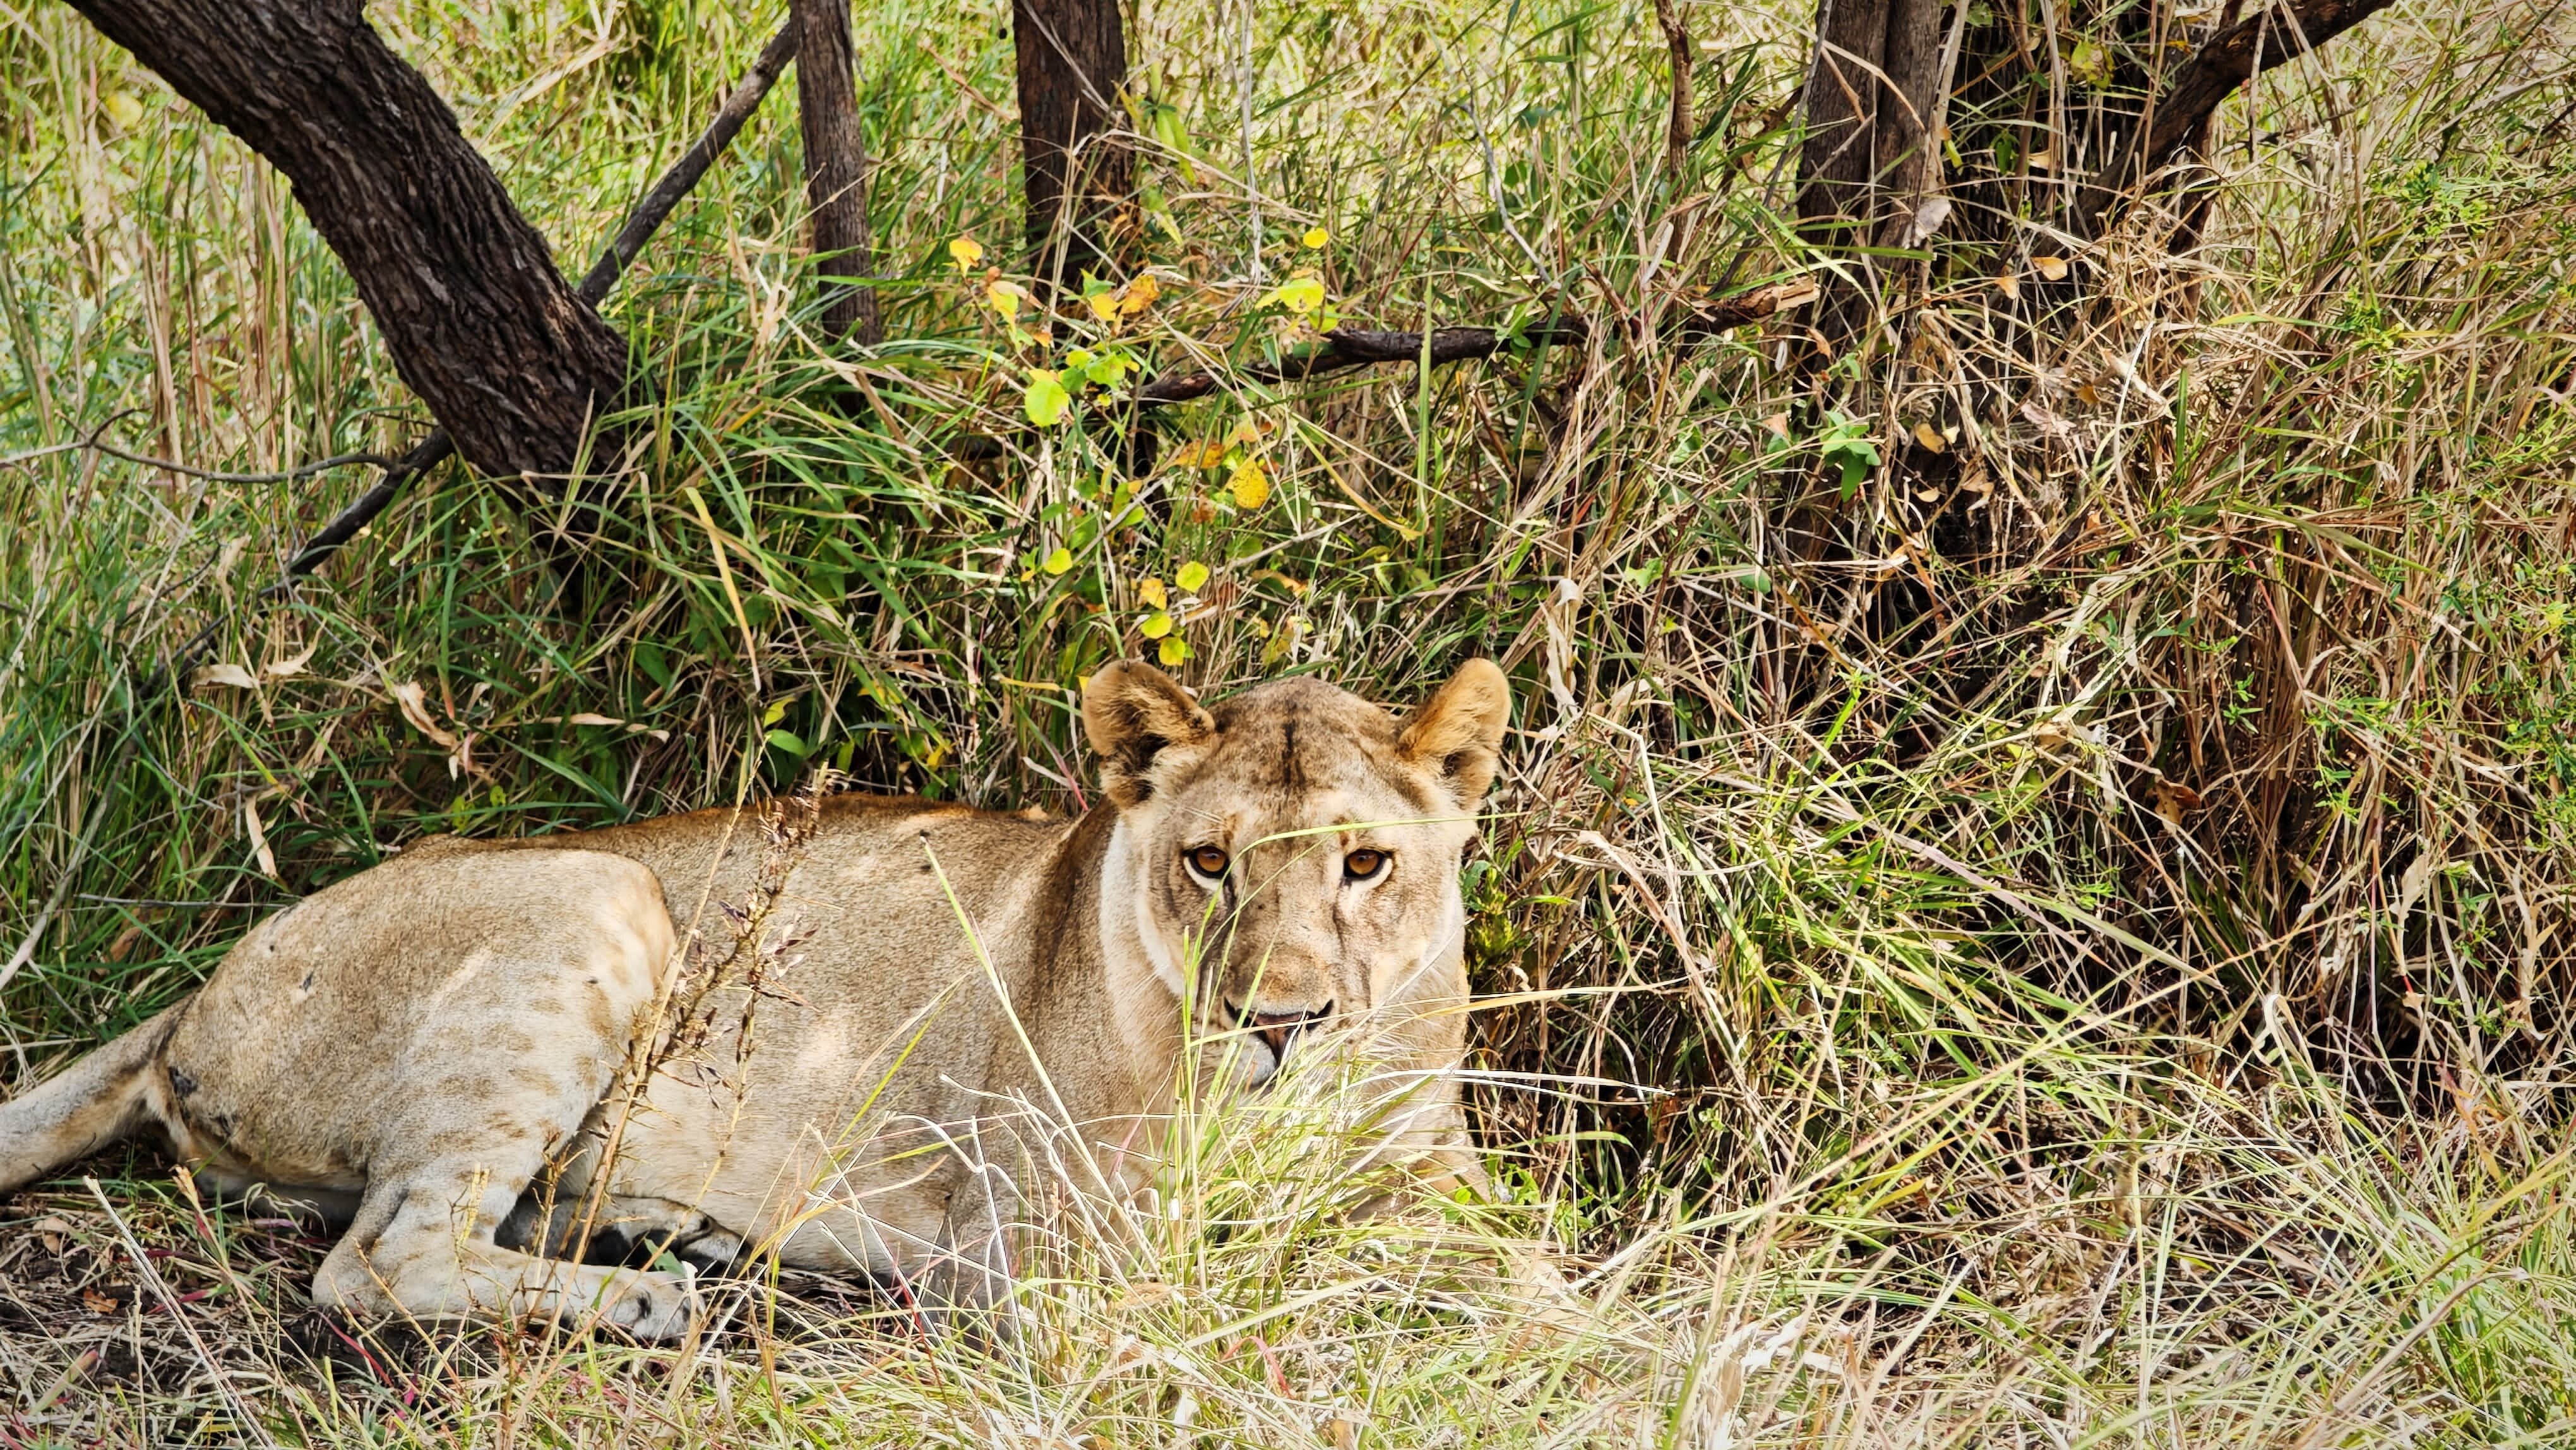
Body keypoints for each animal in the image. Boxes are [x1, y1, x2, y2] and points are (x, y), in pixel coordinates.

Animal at [0, 659, 1512, 1338]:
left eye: (1366, 864)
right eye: (1208, 863)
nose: (1283, 1024)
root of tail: (194, 995)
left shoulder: (1435, 1169)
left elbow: (1523, 1273)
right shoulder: (1045, 1252)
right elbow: (1233, 1298)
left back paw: (674, 1236)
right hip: (603, 893)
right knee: (381, 1256)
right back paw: (654, 1305)